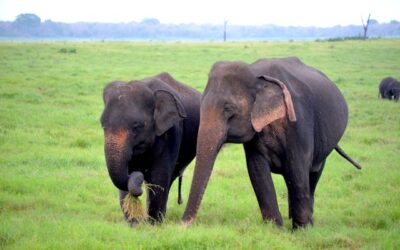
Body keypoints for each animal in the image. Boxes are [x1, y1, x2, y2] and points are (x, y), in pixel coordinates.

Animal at [100, 73, 200, 224]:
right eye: (103, 125)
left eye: (136, 126)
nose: (138, 174)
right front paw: (134, 224)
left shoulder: (172, 132)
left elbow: (159, 177)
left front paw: (153, 225)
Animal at [182, 56, 362, 229]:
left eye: (229, 109)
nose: (182, 224)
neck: (256, 74)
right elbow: (257, 171)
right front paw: (275, 228)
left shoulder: (299, 123)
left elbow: (297, 171)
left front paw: (301, 230)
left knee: (313, 173)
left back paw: (308, 223)